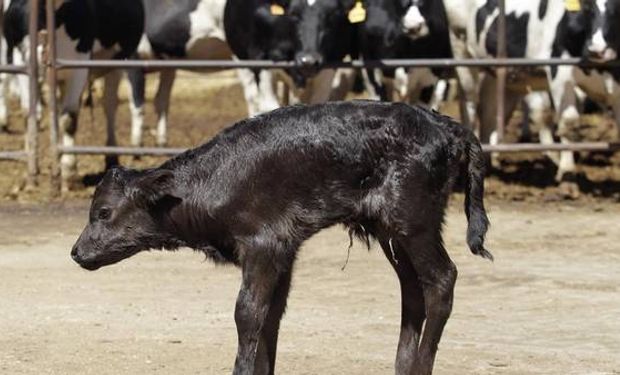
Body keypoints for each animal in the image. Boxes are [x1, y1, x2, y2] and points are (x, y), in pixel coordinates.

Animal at [70, 101, 492, 375]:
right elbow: (270, 316)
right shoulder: (284, 251)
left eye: (103, 213)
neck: (212, 182)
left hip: (414, 222)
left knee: (441, 279)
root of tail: (447, 126)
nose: (76, 252)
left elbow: (248, 313)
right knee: (413, 290)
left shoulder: (263, 246)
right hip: (390, 232)